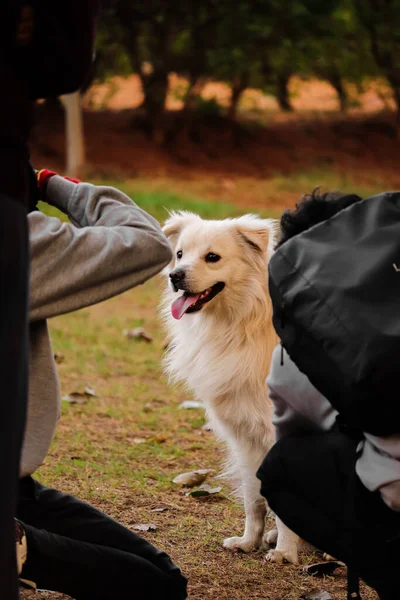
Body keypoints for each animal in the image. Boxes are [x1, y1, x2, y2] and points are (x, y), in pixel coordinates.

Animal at [160, 211, 300, 564]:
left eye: (212, 257)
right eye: (180, 254)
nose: (174, 276)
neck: (241, 325)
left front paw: (285, 553)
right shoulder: (246, 437)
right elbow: (254, 498)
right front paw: (250, 541)